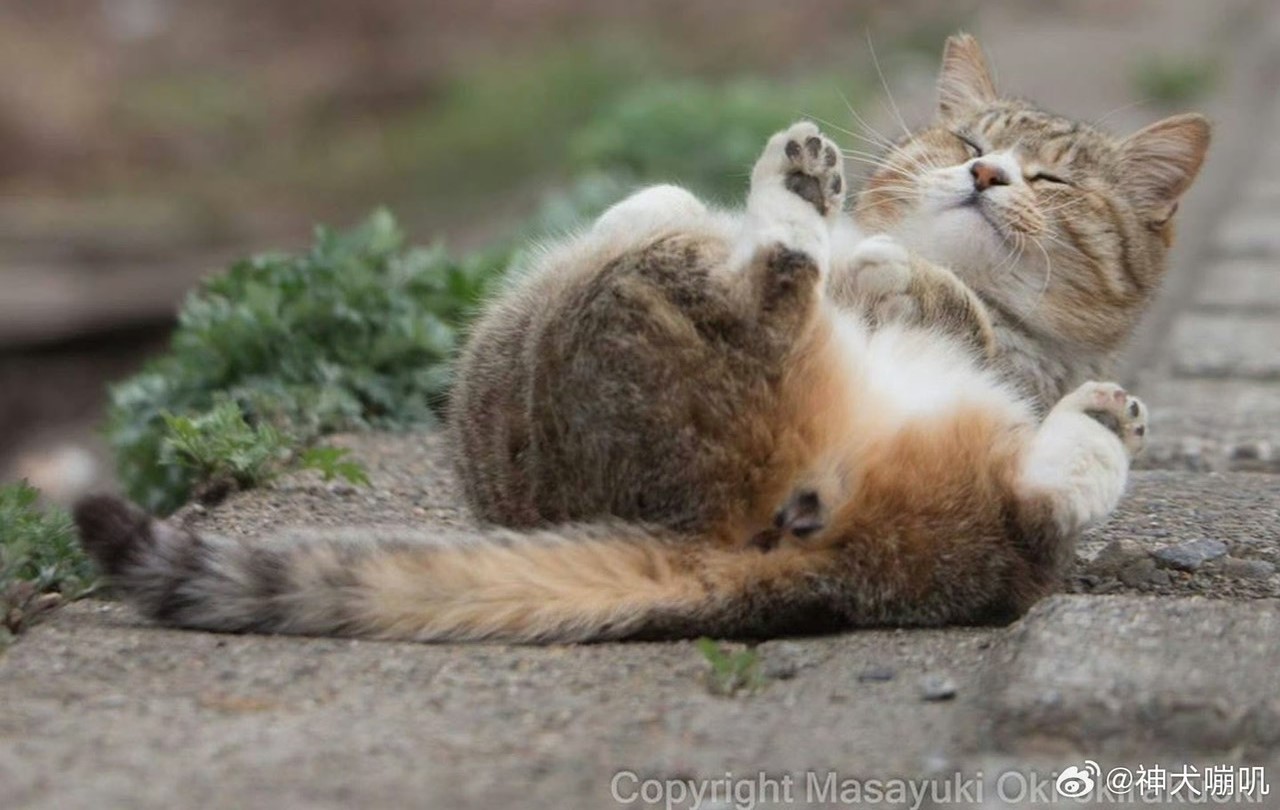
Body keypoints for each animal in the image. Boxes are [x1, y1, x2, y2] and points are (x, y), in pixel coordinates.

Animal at [74, 31, 1203, 642]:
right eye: (966, 140)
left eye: (1051, 179)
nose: (985, 174)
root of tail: (745, 536)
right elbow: (656, 195)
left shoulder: (1012, 348)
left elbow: (942, 301)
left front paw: (893, 272)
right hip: (980, 498)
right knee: (1037, 508)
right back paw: (1103, 418)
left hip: (629, 320)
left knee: (780, 276)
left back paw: (796, 196)